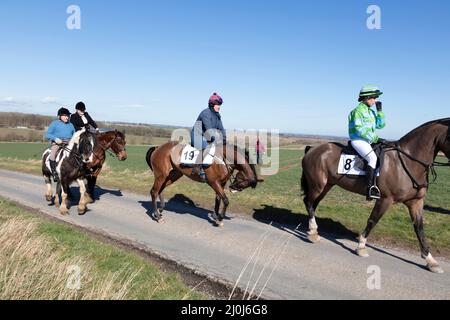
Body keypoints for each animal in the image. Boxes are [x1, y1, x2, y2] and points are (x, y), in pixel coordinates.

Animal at [300, 117, 450, 272]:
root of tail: (312, 149)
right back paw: (313, 233)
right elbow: (373, 220)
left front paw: (430, 260)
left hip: (326, 186)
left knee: (313, 204)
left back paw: (312, 230)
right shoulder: (385, 199)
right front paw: (361, 247)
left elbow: (419, 227)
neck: (407, 161)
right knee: (308, 201)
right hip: (318, 186)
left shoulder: (416, 201)